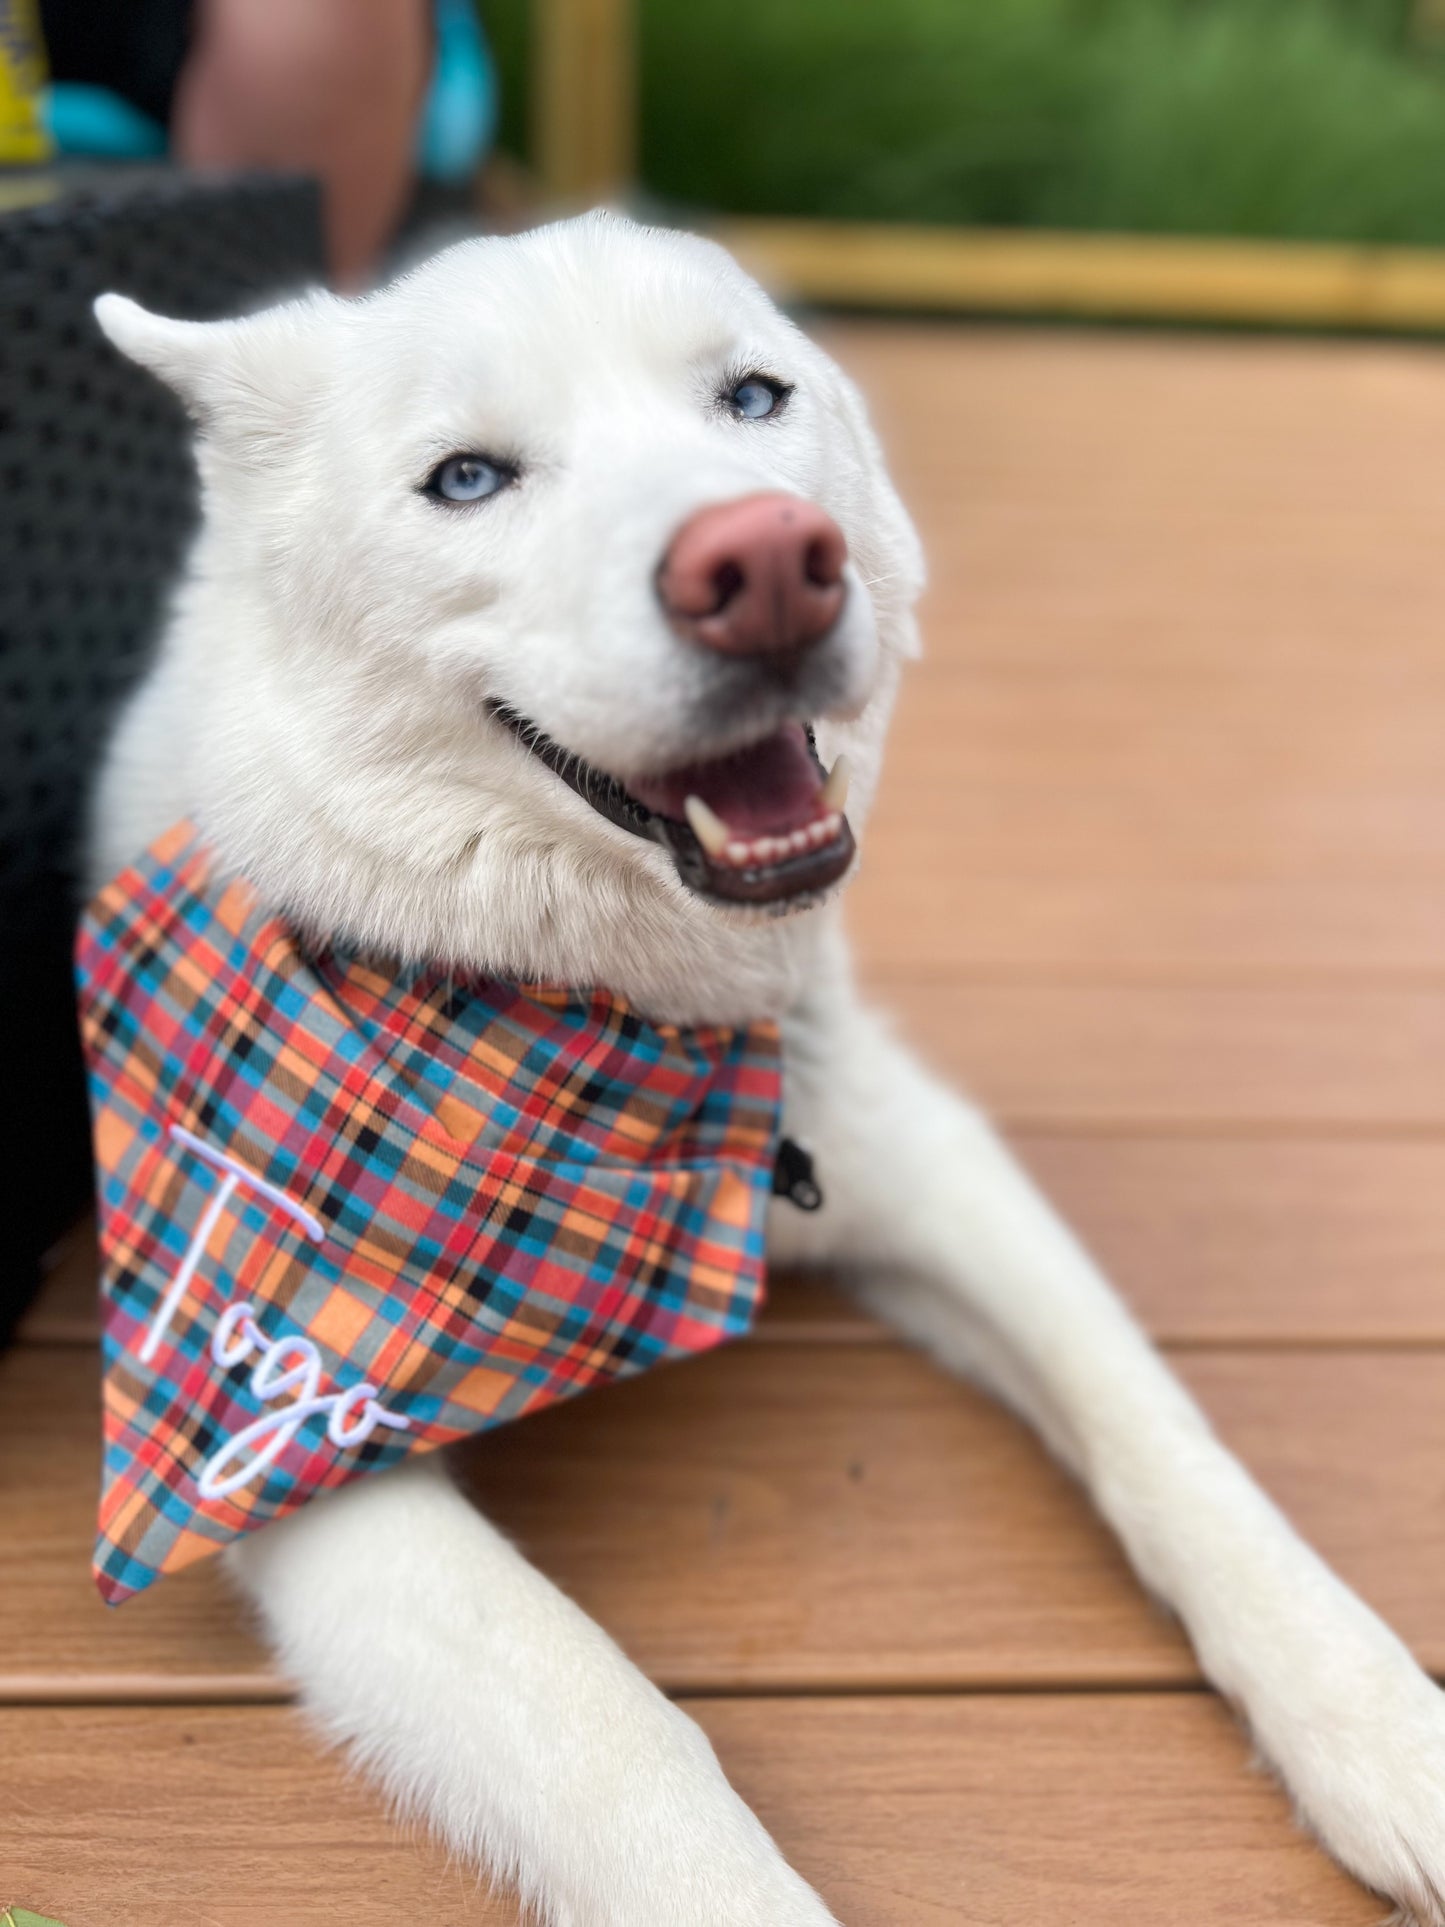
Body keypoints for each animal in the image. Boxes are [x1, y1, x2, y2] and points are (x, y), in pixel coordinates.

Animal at [87, 214, 1445, 1927]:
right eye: (465, 477)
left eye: (750, 396)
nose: (765, 563)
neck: (609, 1026)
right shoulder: (278, 1437)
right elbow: (611, 1726)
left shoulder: (918, 1154)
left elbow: (1170, 1441)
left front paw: (1385, 1729)